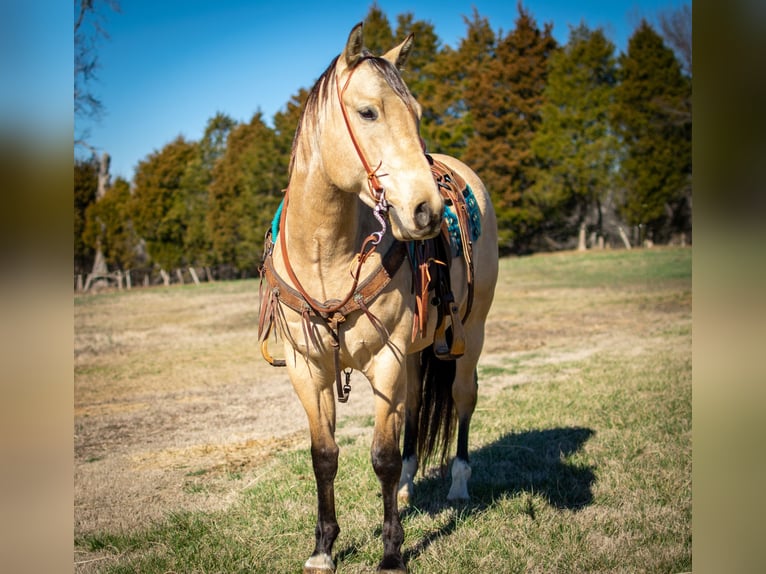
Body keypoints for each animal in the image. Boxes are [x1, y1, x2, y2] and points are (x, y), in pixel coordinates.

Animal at [260, 23, 498, 574]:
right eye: (368, 112)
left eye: (416, 113)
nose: (425, 210)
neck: (326, 255)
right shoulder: (309, 371)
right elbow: (324, 456)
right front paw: (324, 547)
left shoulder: (385, 361)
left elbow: (381, 457)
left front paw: (391, 552)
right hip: (413, 353)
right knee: (413, 411)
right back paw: (410, 487)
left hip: (469, 334)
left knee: (462, 400)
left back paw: (458, 484)